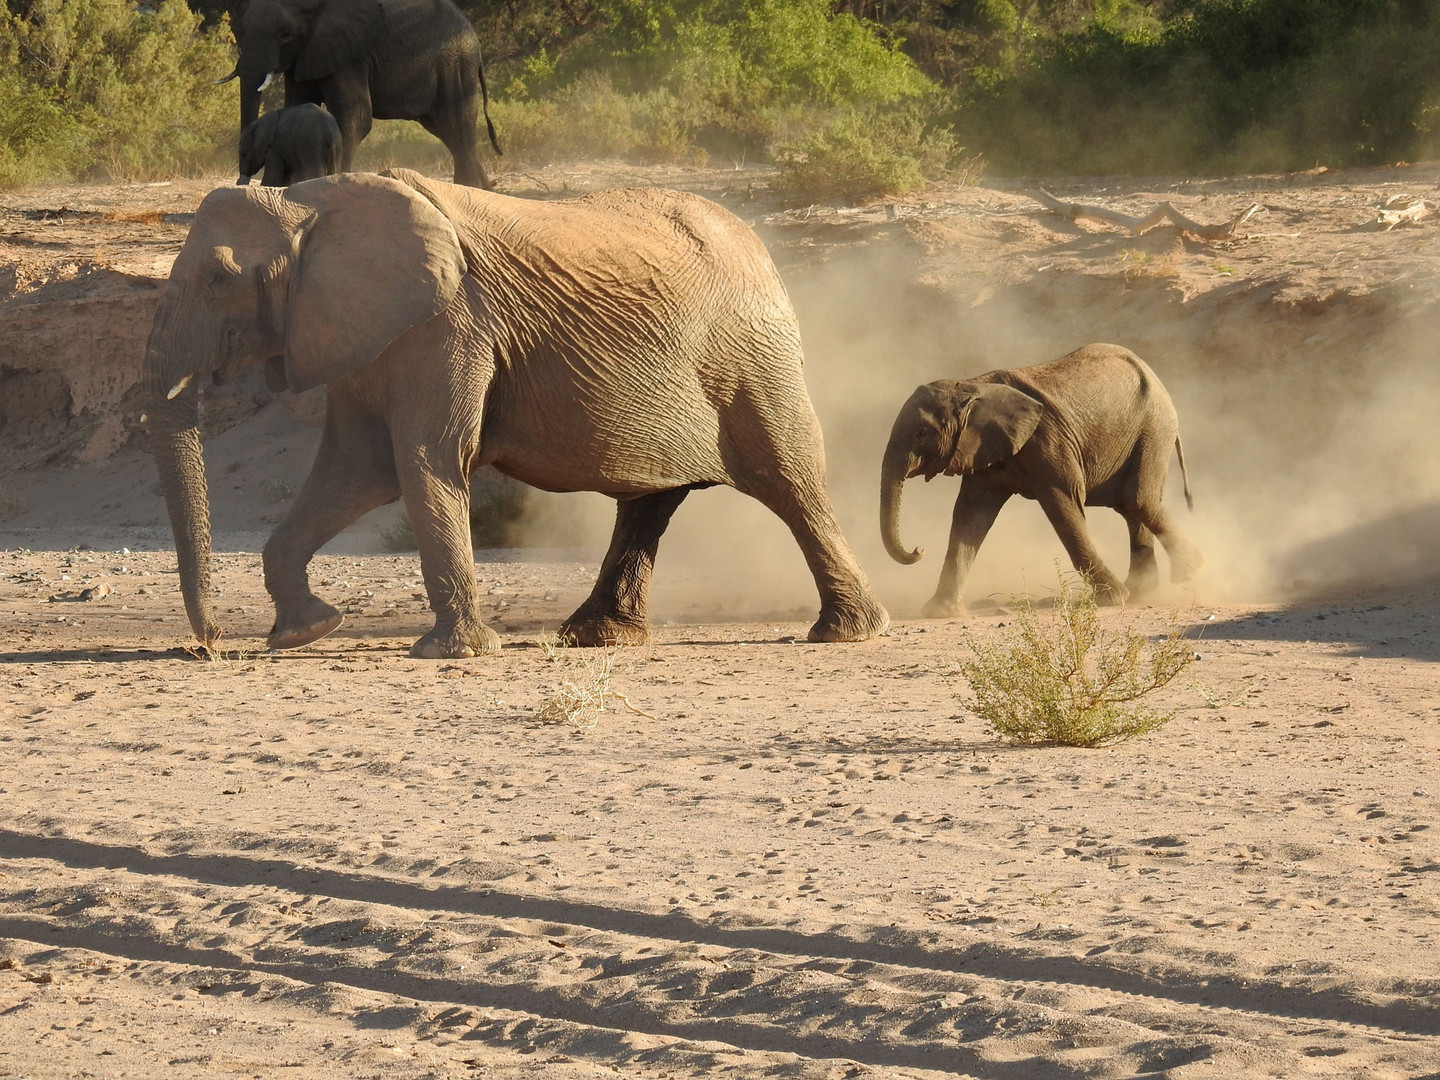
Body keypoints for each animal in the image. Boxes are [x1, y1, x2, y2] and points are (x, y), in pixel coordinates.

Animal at [146, 169, 887, 659]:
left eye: (218, 278)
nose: (210, 644)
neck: (310, 199)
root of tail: (762, 248)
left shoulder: (450, 322)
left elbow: (426, 457)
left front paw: (455, 653)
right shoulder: (360, 330)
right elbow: (358, 471)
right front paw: (305, 630)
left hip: (753, 359)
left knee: (789, 480)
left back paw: (844, 633)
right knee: (649, 499)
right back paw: (597, 637)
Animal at [875, 347, 1203, 616]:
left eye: (921, 433)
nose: (919, 550)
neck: (973, 385)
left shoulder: (1048, 441)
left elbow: (1064, 507)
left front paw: (1112, 599)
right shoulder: (985, 451)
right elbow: (970, 516)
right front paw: (940, 612)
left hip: (1155, 426)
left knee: (1137, 499)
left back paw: (1190, 573)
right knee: (1128, 505)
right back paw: (1142, 591)